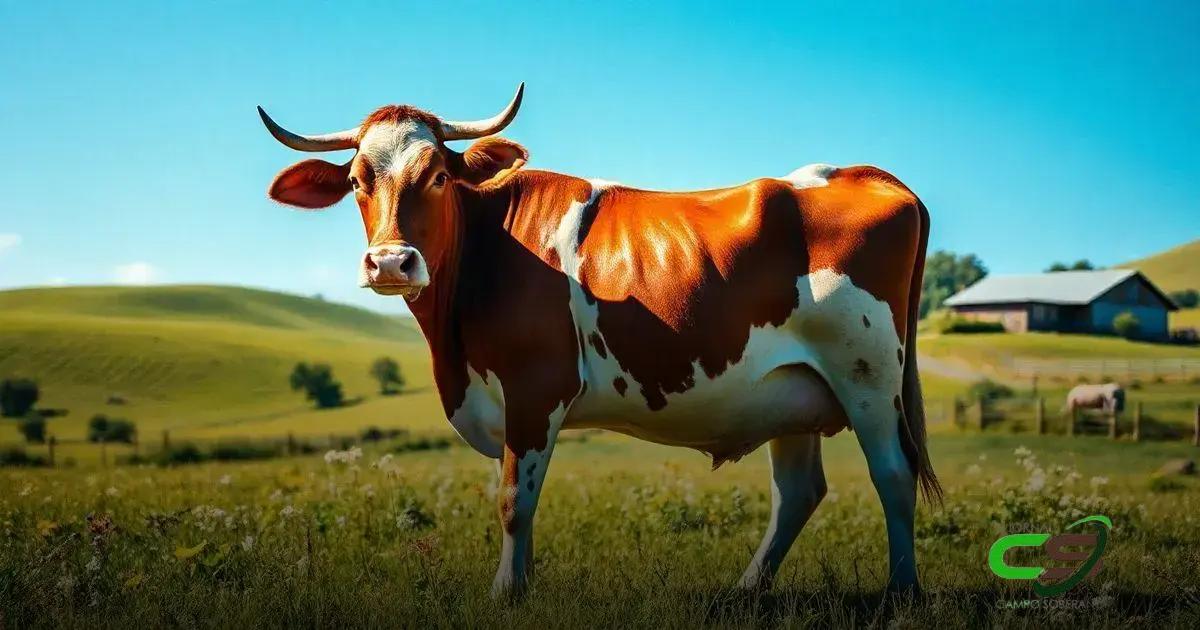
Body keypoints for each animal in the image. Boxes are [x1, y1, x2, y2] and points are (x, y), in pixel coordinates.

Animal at [258, 84, 941, 598]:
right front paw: (523, 587)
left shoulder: (536, 386)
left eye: (439, 177)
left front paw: (504, 594)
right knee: (798, 493)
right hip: (791, 394)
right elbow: (521, 498)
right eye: (355, 180)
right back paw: (745, 590)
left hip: (868, 377)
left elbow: (513, 499)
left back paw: (900, 593)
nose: (391, 262)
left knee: (893, 473)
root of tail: (865, 174)